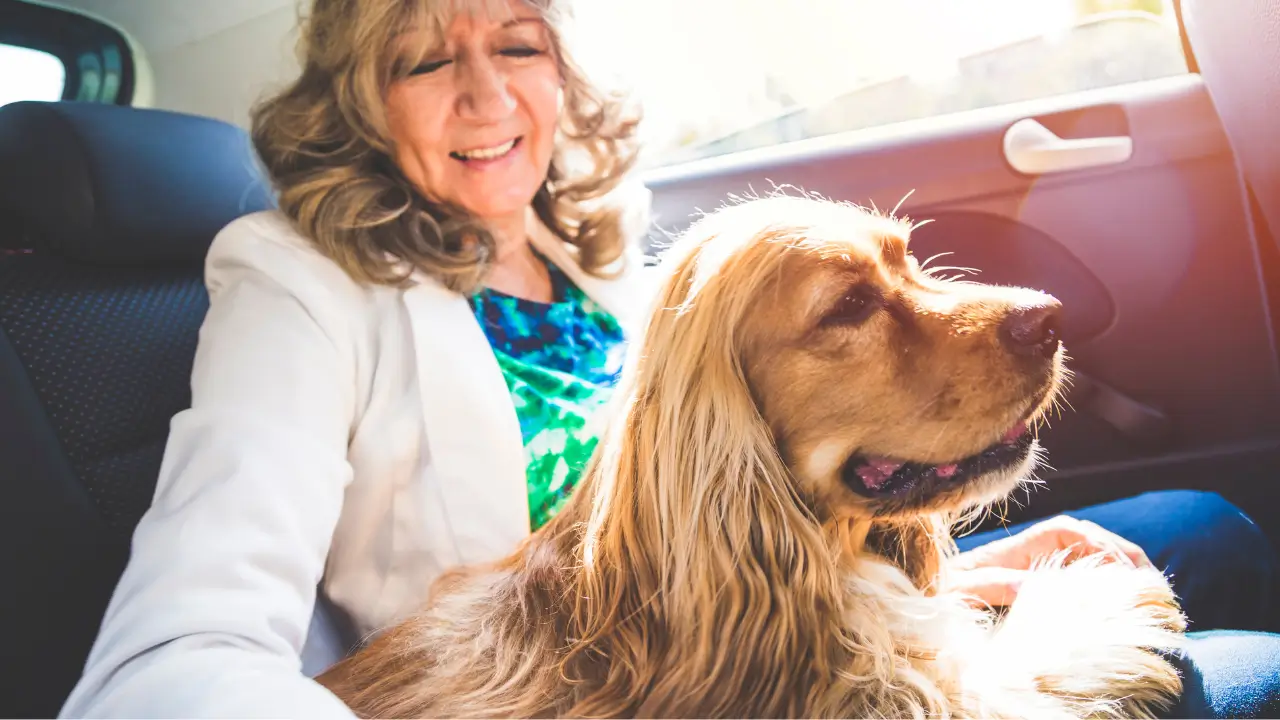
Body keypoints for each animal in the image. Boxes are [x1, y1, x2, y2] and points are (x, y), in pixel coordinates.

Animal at [314, 193, 1182, 712]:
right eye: (850, 305)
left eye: (908, 262)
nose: (1049, 317)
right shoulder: (916, 698)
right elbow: (1023, 660)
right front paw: (1093, 589)